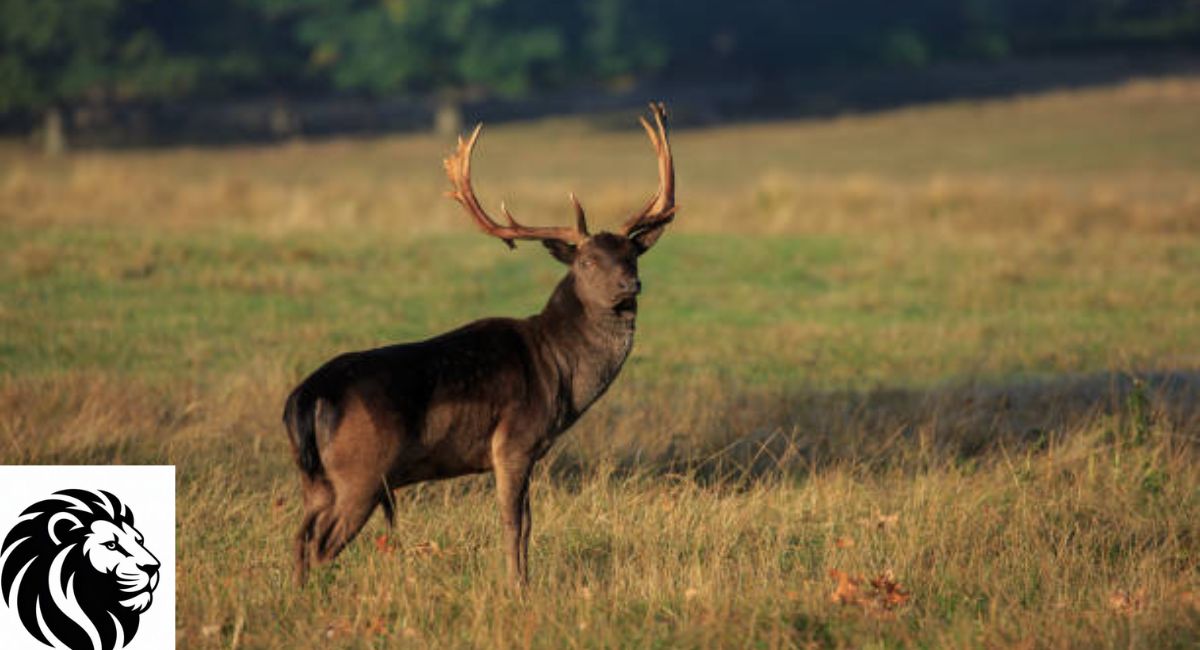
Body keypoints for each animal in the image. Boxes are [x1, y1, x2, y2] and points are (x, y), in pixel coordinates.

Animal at [283, 103, 676, 586]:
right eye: (586, 261)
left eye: (632, 254)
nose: (630, 285)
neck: (560, 369)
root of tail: (306, 398)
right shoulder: (513, 441)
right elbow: (514, 523)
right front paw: (517, 586)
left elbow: (526, 523)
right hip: (361, 472)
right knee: (321, 543)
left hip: (314, 477)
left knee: (300, 534)